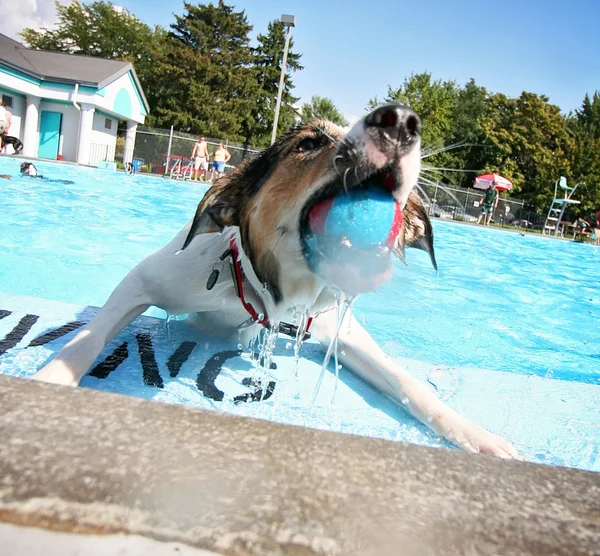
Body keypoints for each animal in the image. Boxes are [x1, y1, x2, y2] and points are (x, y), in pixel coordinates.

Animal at [34, 106, 520, 458]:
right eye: (309, 142)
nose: (400, 119)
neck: (266, 291)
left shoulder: (335, 327)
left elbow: (404, 380)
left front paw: (475, 434)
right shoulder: (147, 278)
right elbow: (87, 339)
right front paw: (51, 382)